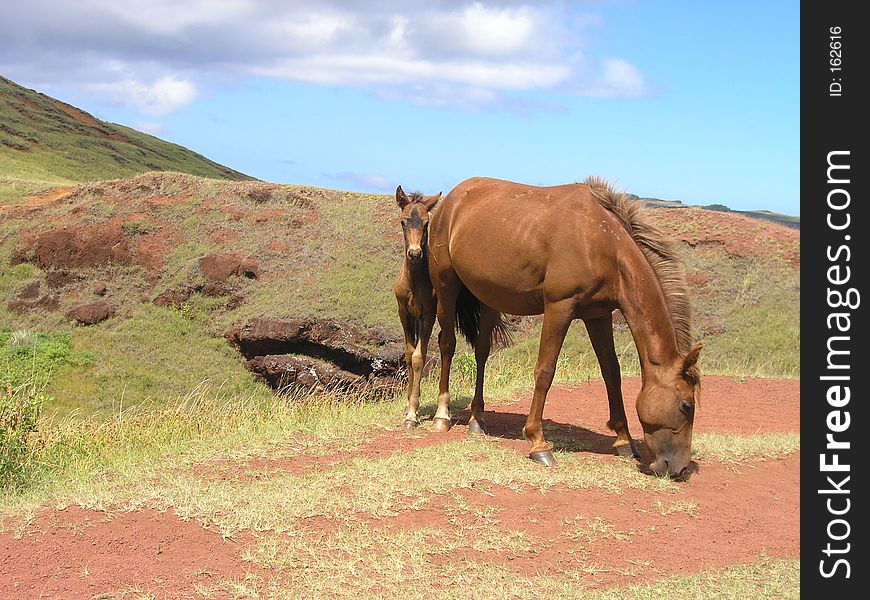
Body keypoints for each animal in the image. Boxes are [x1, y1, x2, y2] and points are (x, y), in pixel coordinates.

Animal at [432, 176, 704, 476]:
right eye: (687, 405)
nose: (678, 468)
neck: (601, 241)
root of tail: (452, 198)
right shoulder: (559, 307)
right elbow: (545, 371)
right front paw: (538, 443)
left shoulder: (598, 315)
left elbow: (611, 372)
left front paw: (624, 440)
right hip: (445, 285)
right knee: (447, 344)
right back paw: (442, 416)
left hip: (489, 296)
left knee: (481, 352)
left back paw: (477, 419)